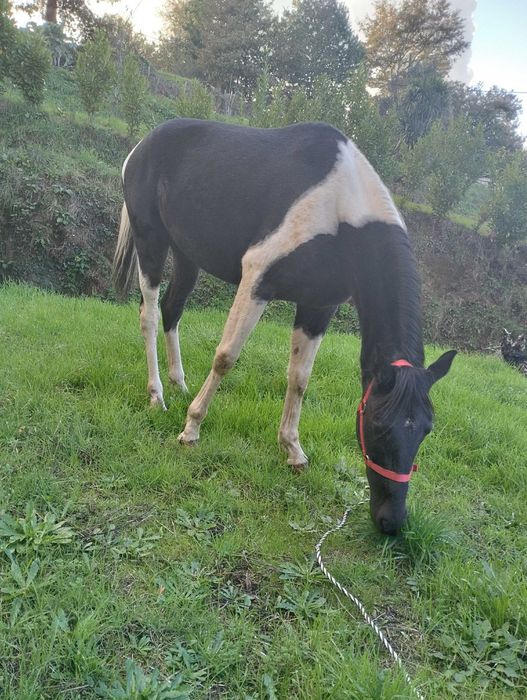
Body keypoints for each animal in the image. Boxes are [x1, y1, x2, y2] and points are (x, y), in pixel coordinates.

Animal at [112, 118, 456, 535]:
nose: (391, 521)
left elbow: (299, 378)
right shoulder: (258, 278)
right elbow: (226, 357)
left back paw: (178, 384)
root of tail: (141, 146)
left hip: (186, 254)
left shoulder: (317, 307)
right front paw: (191, 429)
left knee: (171, 310)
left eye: (425, 429)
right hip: (151, 241)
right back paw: (157, 396)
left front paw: (293, 450)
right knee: (148, 316)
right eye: (379, 425)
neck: (341, 206)